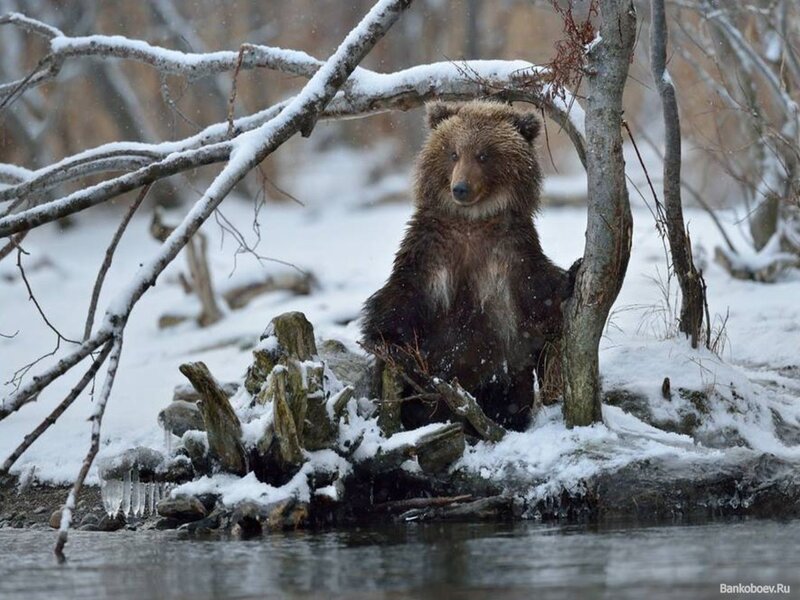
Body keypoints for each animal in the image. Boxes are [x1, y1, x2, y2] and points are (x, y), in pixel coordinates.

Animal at [361, 100, 577, 432]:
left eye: (484, 154)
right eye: (452, 152)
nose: (460, 188)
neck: (471, 222)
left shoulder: (510, 250)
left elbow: (537, 289)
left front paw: (573, 273)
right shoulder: (430, 251)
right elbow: (401, 296)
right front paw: (388, 344)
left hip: (504, 372)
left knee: (511, 394)